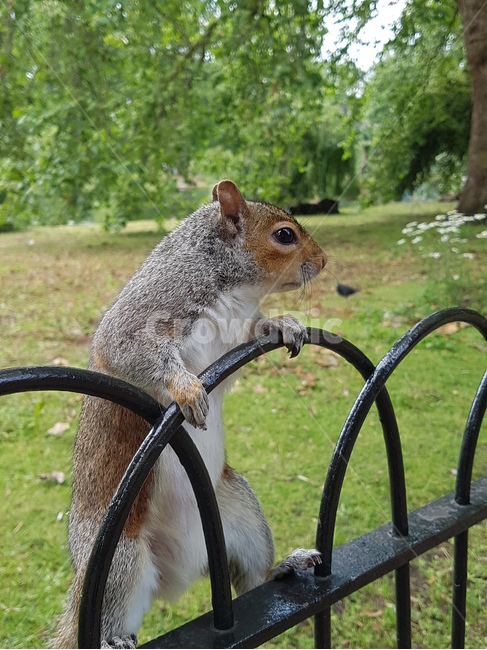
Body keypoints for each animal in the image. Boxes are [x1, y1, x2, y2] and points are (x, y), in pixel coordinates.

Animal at [54, 180, 326, 648]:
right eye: (284, 235)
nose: (324, 261)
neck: (233, 289)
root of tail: (182, 574)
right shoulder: (148, 311)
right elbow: (131, 349)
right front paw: (185, 388)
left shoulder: (236, 335)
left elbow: (256, 332)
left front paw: (285, 323)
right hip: (120, 559)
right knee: (111, 615)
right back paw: (111, 640)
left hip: (242, 514)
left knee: (253, 579)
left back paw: (286, 566)